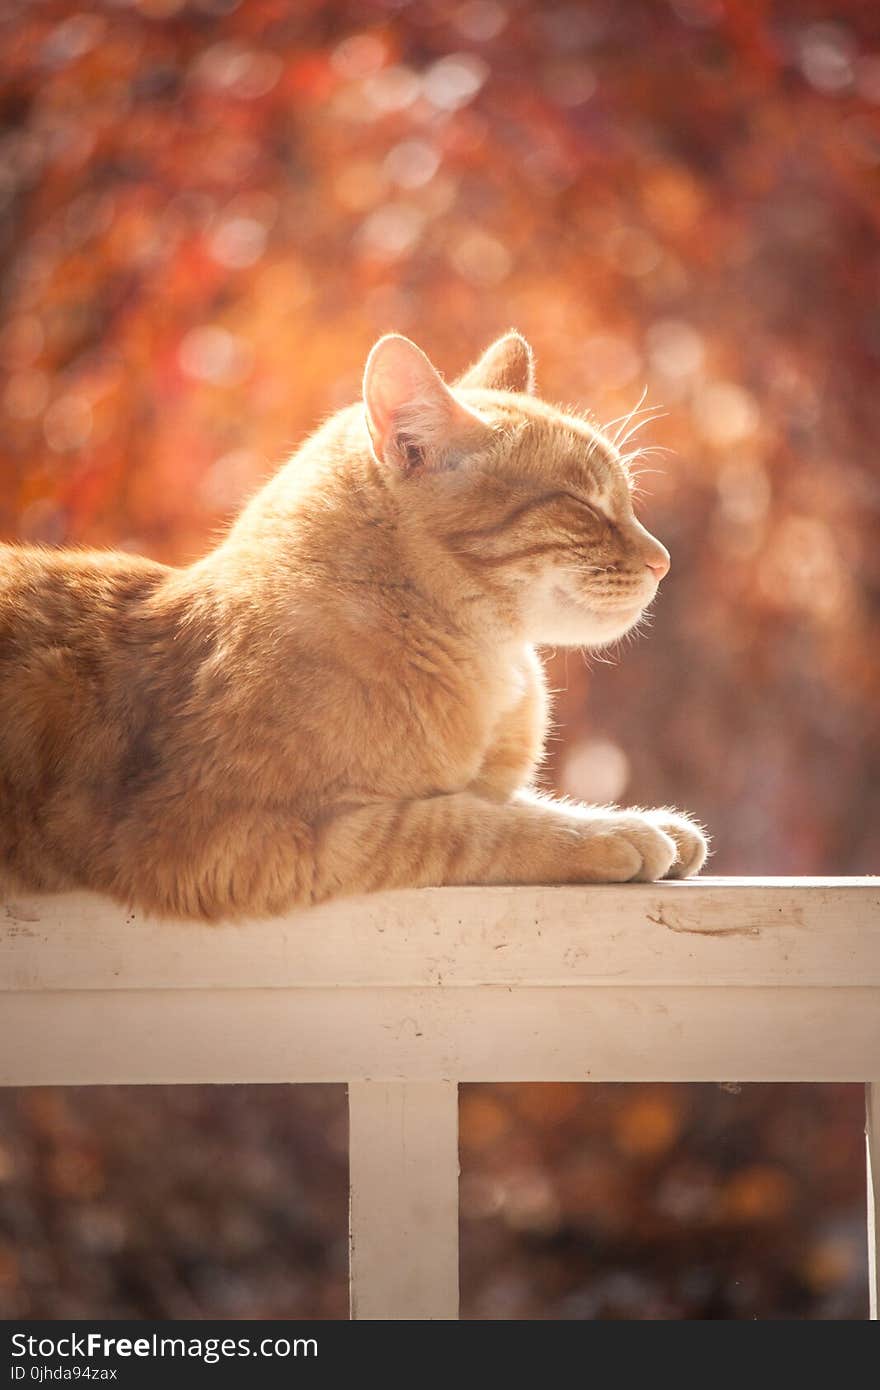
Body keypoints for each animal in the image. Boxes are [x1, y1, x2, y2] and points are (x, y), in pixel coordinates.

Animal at [0, 330, 706, 917]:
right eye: (581, 505)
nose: (663, 561)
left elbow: (503, 798)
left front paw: (646, 821)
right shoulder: (236, 840)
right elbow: (462, 823)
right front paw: (610, 833)